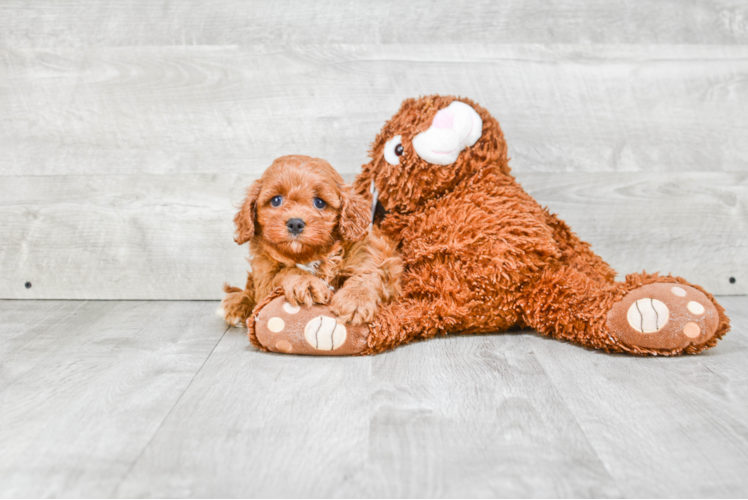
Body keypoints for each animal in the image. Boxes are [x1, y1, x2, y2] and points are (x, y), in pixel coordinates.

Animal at [218, 156, 400, 328]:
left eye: (319, 202)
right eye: (276, 200)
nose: (295, 223)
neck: (308, 255)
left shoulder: (370, 255)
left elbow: (367, 274)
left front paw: (355, 301)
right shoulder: (265, 281)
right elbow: (287, 271)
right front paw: (307, 283)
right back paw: (237, 305)